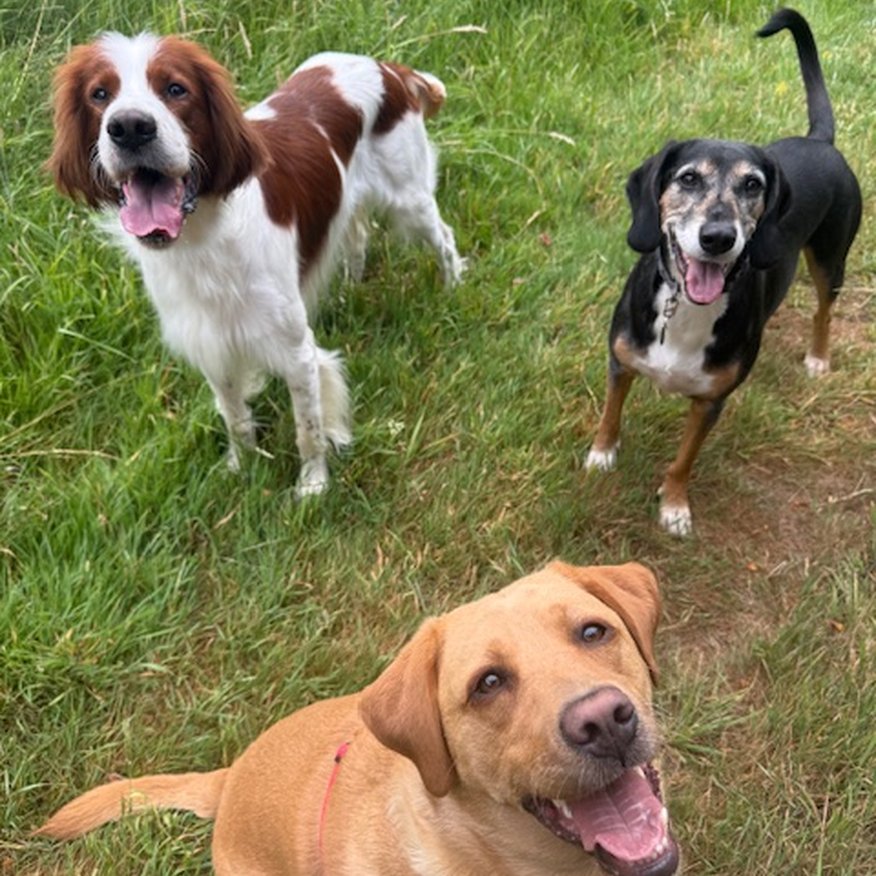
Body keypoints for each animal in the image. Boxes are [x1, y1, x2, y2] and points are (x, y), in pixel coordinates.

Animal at [48, 34, 465, 497]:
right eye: (99, 95)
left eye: (176, 89)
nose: (130, 128)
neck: (204, 238)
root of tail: (386, 67)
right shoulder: (213, 344)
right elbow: (235, 416)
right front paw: (241, 467)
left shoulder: (296, 351)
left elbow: (308, 428)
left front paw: (312, 487)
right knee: (357, 234)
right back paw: (350, 289)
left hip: (409, 198)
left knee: (444, 238)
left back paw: (452, 289)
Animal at [585, 8, 861, 536]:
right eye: (688, 177)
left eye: (752, 185)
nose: (718, 237)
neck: (687, 312)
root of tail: (820, 140)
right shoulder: (620, 362)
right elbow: (610, 415)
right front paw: (601, 455)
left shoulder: (711, 402)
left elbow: (683, 461)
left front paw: (674, 507)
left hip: (830, 257)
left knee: (823, 310)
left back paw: (818, 357)